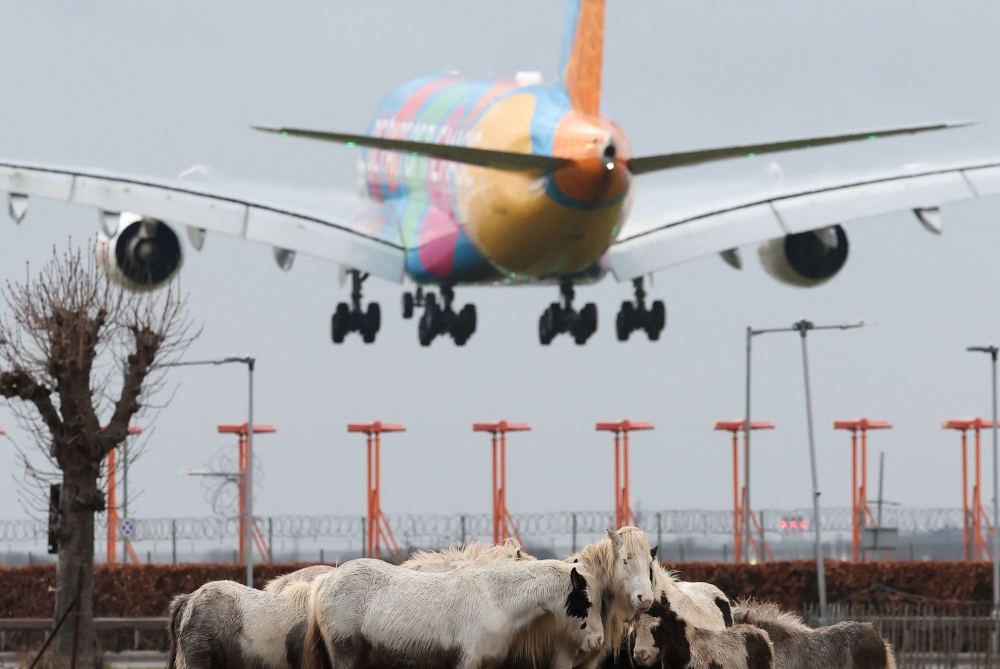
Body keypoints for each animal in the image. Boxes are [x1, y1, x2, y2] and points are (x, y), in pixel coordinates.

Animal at [303, 558, 604, 669]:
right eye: (586, 603)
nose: (599, 641)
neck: (497, 600)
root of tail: (326, 581)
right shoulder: (468, 660)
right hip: (346, 652)